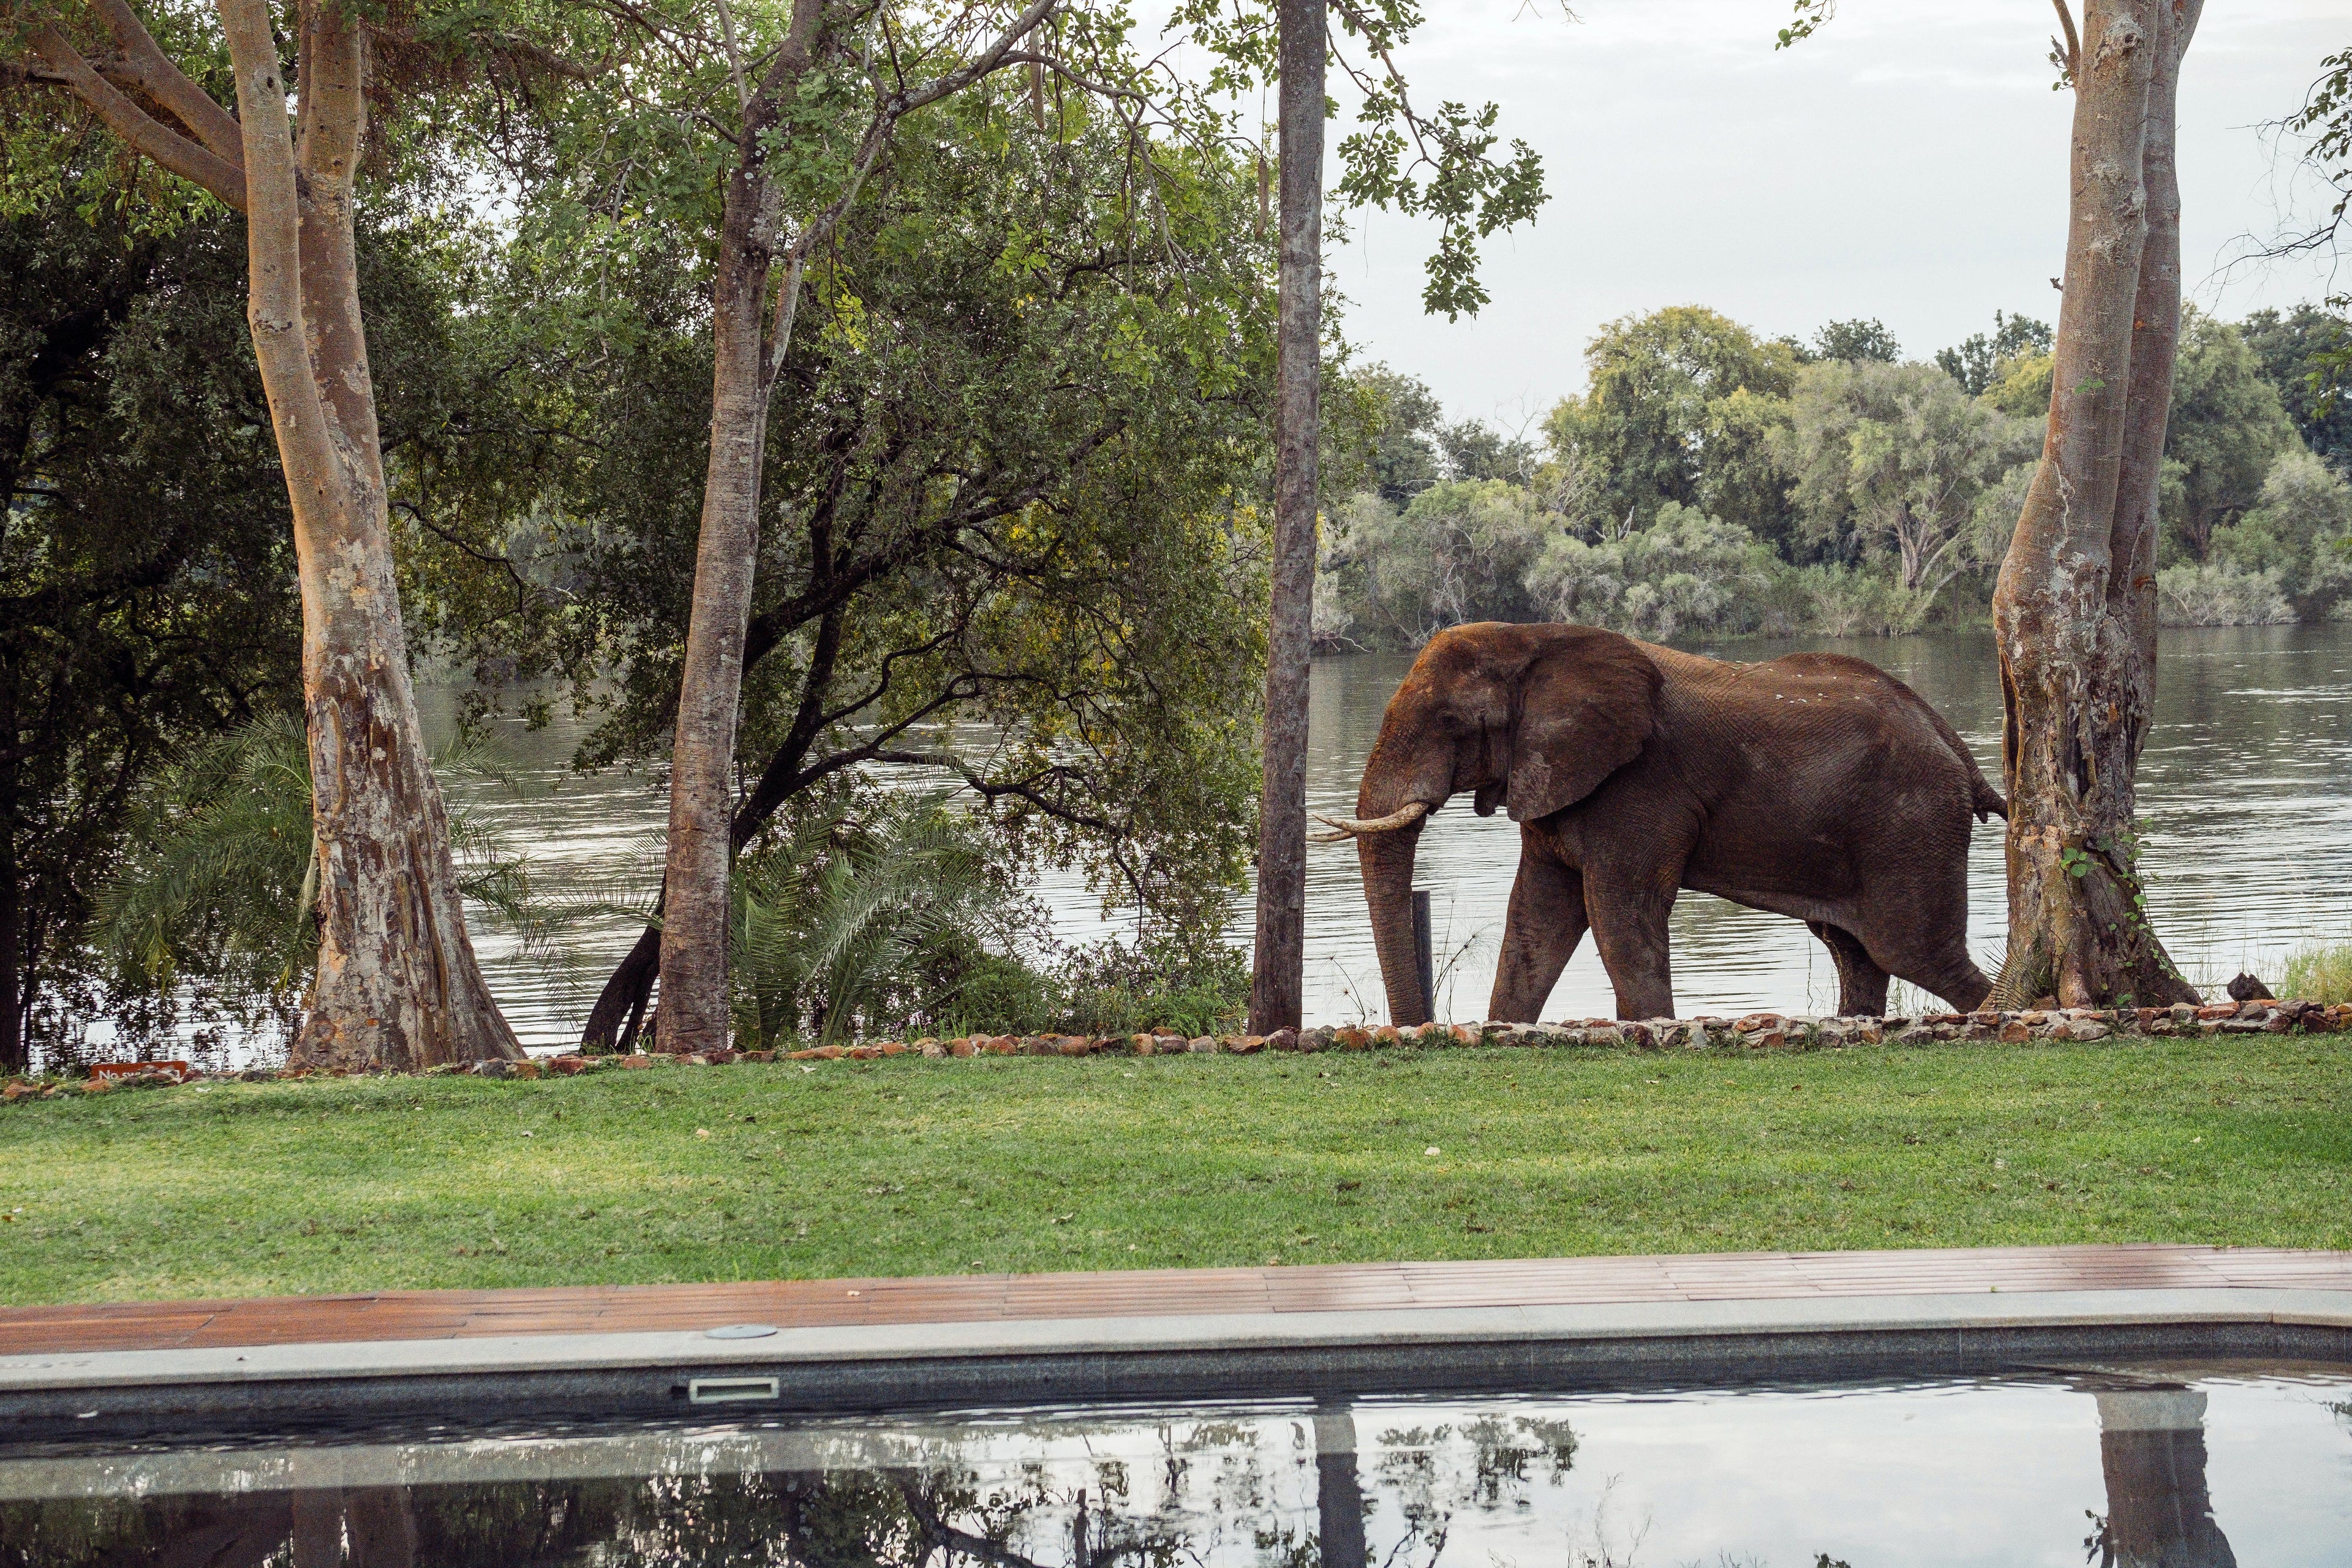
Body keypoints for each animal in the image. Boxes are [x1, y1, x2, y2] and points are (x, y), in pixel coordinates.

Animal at [1318, 622, 2005, 1024]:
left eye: (1451, 724)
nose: (1419, 1030)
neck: (1535, 638)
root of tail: (1956, 748)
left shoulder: (1639, 786)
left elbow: (1619, 915)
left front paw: (1651, 1030)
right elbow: (1536, 919)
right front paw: (1508, 1030)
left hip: (1910, 824)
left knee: (1916, 952)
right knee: (1857, 954)